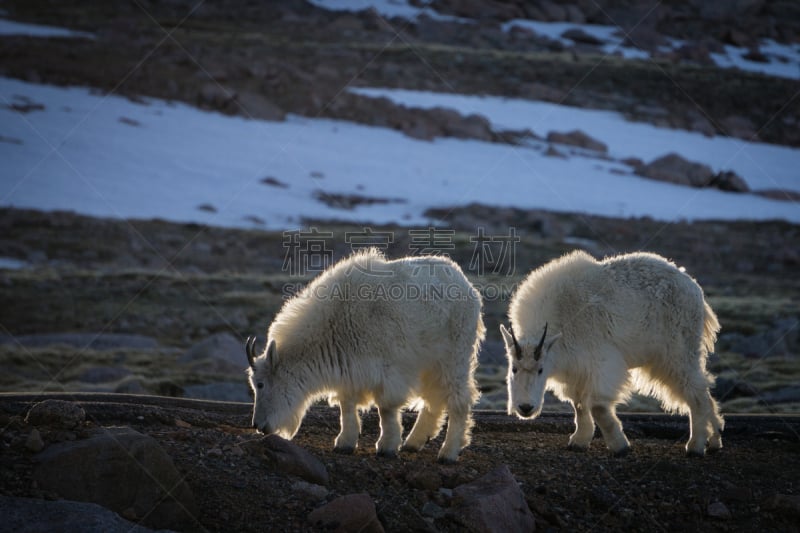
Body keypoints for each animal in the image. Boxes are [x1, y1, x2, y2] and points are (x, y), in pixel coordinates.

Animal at [245, 248, 482, 462]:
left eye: (260, 384)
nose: (258, 425)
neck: (336, 324)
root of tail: (466, 285)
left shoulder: (388, 369)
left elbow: (386, 408)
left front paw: (386, 447)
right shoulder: (349, 368)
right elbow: (347, 405)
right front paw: (344, 443)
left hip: (454, 356)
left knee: (459, 400)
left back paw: (448, 452)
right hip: (429, 364)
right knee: (434, 399)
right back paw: (414, 442)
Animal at [506, 248, 724, 454]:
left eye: (541, 370)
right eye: (514, 369)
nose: (525, 408)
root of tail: (695, 289)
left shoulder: (601, 360)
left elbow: (598, 406)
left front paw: (620, 446)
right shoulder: (576, 368)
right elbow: (579, 404)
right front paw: (578, 441)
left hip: (678, 350)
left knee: (696, 392)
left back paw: (695, 446)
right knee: (703, 392)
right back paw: (714, 440)